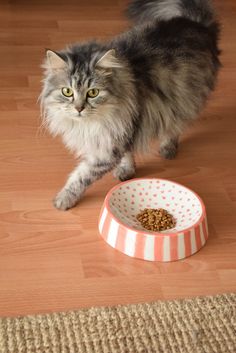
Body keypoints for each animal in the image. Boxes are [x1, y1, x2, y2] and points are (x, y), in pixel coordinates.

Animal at [40, 0, 219, 209]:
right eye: (67, 92)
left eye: (93, 92)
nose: (79, 108)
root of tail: (196, 23)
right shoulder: (121, 131)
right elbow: (126, 153)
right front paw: (127, 170)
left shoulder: (106, 148)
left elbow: (81, 176)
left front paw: (64, 199)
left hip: (184, 100)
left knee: (175, 126)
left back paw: (168, 148)